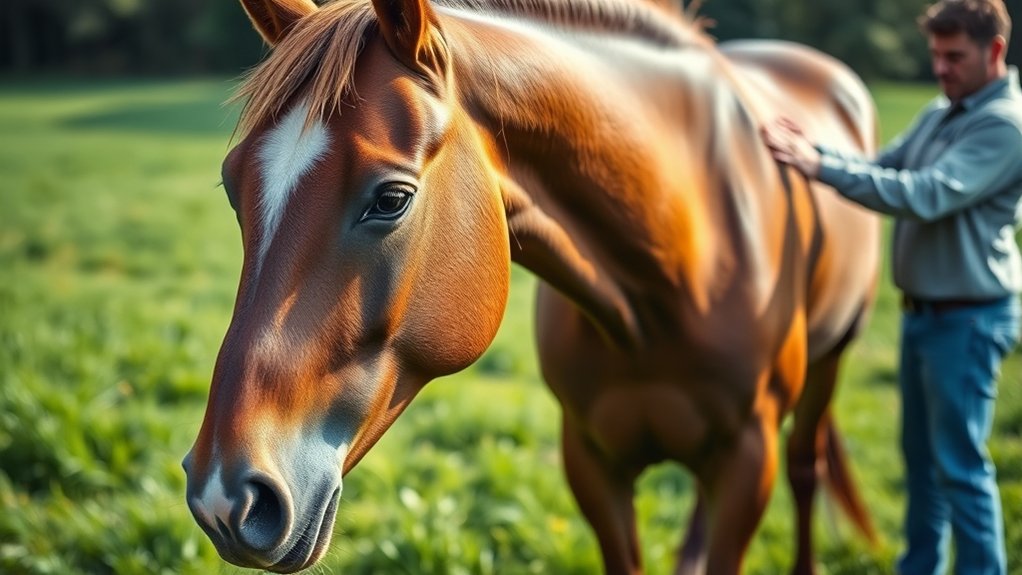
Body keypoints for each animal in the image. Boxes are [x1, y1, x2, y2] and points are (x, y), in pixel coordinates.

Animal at [181, 0, 881, 572]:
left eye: (391, 198)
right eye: (233, 190)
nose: (225, 496)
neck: (669, 279)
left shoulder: (746, 461)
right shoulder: (592, 463)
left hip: (832, 361)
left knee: (807, 468)